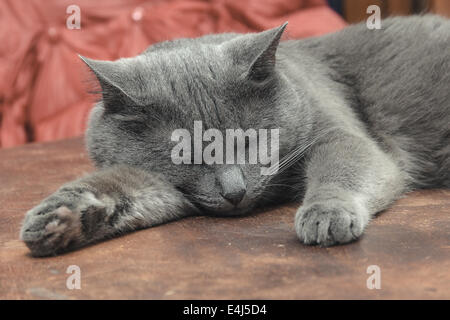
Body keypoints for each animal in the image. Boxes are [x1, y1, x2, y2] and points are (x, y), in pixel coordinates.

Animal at [21, 15, 450, 256]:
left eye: (250, 141)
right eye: (186, 156)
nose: (234, 191)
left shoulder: (338, 133)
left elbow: (343, 167)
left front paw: (326, 214)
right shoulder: (170, 186)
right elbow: (125, 185)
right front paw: (60, 216)